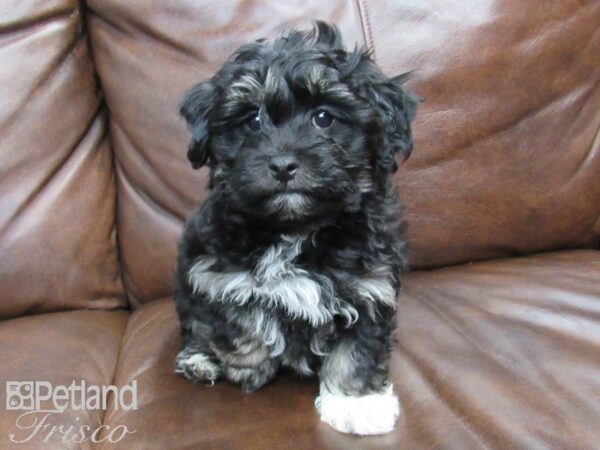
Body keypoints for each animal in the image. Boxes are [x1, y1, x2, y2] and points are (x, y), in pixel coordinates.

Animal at [173, 22, 418, 436]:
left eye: (324, 117)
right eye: (252, 121)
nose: (283, 164)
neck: (295, 231)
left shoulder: (371, 285)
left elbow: (359, 347)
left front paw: (357, 403)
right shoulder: (211, 274)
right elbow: (237, 321)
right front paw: (250, 368)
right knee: (195, 328)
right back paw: (200, 360)